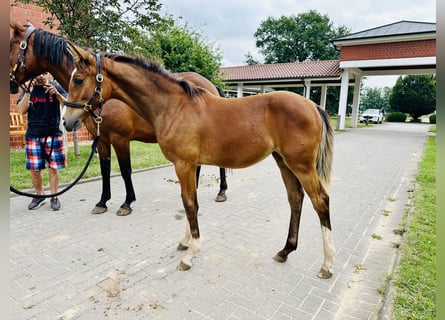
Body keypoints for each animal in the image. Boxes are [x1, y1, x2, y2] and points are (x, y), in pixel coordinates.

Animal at [9, 20, 229, 215]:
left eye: (10, 45)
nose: (10, 83)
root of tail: (210, 86)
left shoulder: (120, 138)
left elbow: (125, 170)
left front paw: (126, 203)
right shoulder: (101, 139)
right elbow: (105, 170)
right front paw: (102, 202)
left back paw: (221, 192)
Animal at [62, 44, 332, 278]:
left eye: (78, 79)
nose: (67, 121)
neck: (175, 107)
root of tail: (313, 105)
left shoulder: (184, 165)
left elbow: (190, 204)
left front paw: (190, 255)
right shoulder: (188, 166)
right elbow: (188, 202)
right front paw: (185, 243)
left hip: (301, 165)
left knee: (321, 201)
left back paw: (327, 265)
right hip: (283, 162)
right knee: (295, 199)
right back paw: (285, 251)